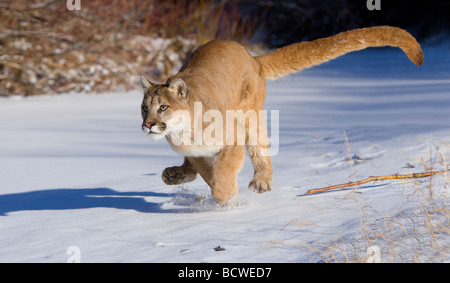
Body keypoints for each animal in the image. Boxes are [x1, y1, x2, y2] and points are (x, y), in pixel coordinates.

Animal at [140, 26, 422, 204]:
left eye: (163, 107)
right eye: (144, 108)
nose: (148, 124)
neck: (184, 131)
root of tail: (250, 55)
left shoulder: (231, 140)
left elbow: (222, 170)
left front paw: (227, 197)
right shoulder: (196, 153)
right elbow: (209, 172)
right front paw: (224, 195)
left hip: (250, 114)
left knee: (260, 150)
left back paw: (261, 181)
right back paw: (174, 174)